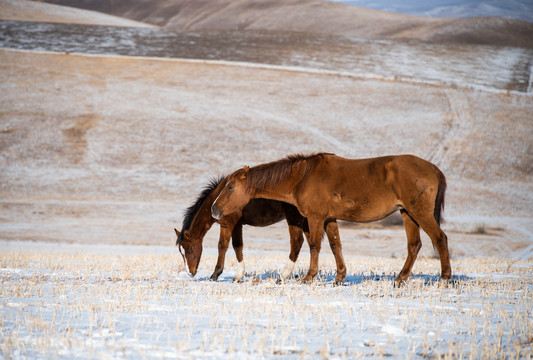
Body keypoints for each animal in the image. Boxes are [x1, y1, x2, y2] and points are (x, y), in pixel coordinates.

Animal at [172, 176, 342, 282]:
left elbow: (233, 246)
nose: (190, 272)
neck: (218, 198)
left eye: (190, 250)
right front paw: (219, 274)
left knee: (298, 242)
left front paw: (230, 275)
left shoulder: (233, 224)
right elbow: (225, 246)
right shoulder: (226, 225)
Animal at [210, 153, 450, 286]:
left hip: (420, 213)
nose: (214, 209)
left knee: (440, 239)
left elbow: (315, 246)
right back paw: (400, 279)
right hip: (407, 213)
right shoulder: (330, 219)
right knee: (414, 245)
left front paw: (309, 277)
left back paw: (445, 277)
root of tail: (433, 168)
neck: (302, 177)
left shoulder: (316, 218)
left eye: (230, 187)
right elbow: (336, 246)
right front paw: (339, 277)